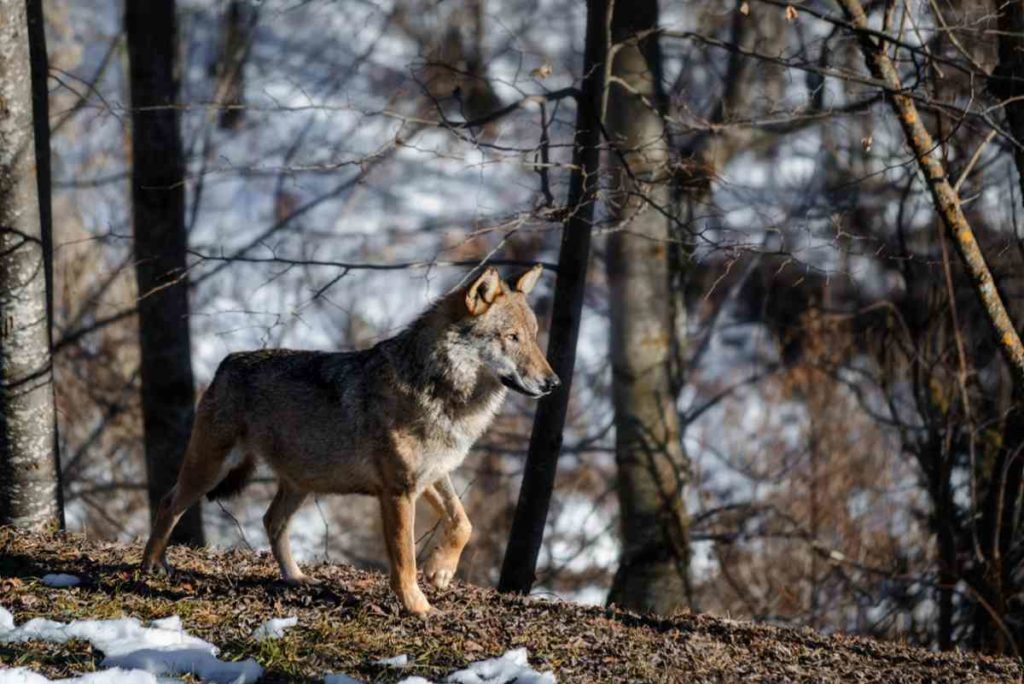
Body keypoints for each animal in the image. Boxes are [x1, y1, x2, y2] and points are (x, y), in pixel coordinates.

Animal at [140, 265, 558, 614]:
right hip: (210, 471)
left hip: (300, 484)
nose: (553, 383)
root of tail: (227, 361)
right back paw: (150, 568)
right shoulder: (398, 491)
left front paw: (440, 570)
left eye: (535, 338)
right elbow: (404, 560)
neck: (441, 392)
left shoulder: (432, 476)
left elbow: (463, 522)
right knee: (168, 504)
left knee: (271, 520)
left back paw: (295, 577)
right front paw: (418, 608)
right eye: (511, 337)